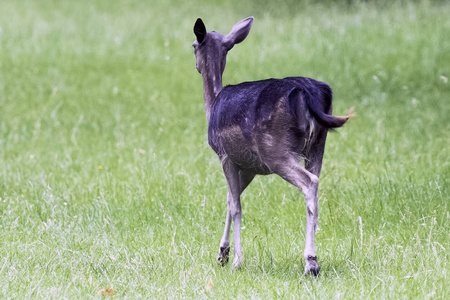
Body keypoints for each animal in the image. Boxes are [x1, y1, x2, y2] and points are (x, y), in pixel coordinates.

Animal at [192, 15, 354, 274]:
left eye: (193, 46)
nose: (195, 64)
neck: (212, 104)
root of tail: (307, 93)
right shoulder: (250, 166)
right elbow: (230, 199)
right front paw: (222, 254)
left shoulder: (225, 155)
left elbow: (236, 206)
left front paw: (236, 261)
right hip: (318, 144)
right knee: (317, 182)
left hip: (275, 150)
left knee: (310, 182)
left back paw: (311, 262)